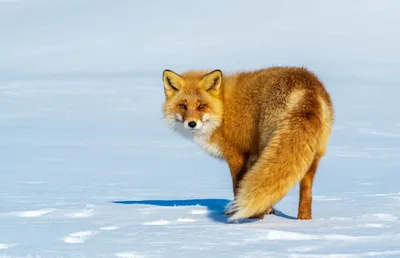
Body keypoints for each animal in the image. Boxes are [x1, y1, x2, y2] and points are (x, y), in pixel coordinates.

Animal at [161, 66, 332, 222]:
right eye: (182, 106)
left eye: (201, 106)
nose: (191, 123)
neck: (223, 109)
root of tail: (307, 88)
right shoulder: (252, 157)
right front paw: (269, 211)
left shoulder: (237, 156)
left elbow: (238, 186)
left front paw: (236, 214)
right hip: (311, 155)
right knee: (306, 191)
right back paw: (303, 221)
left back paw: (257, 217)